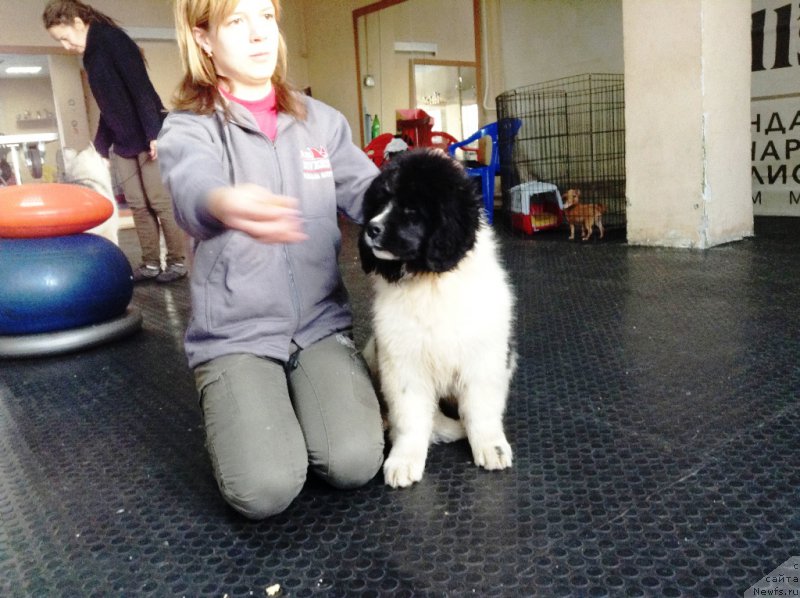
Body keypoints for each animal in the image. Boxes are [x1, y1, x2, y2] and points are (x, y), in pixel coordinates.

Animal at [358, 149, 520, 488]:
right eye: (379, 205)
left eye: (411, 209)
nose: (371, 229)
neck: (430, 282)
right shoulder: (402, 362)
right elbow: (409, 416)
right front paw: (404, 460)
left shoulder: (483, 357)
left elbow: (481, 410)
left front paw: (491, 447)